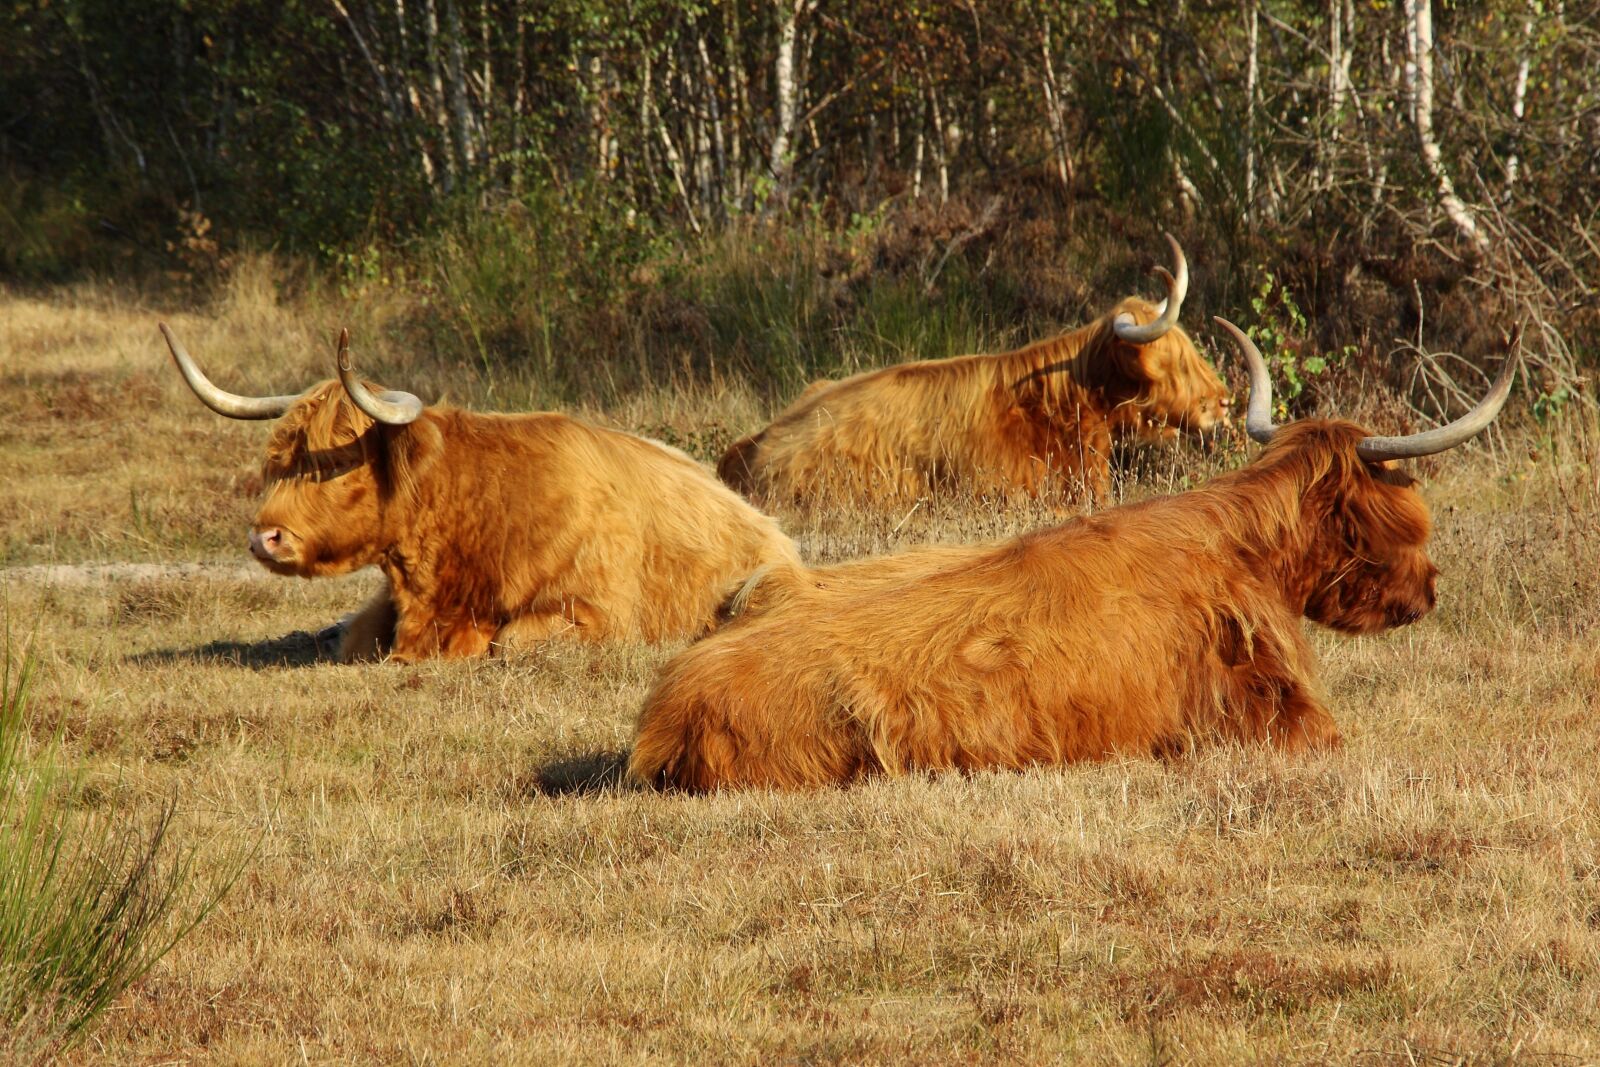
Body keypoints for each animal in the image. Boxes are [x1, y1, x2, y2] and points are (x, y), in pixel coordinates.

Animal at [160, 324, 802, 662]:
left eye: (336, 463)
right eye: (279, 462)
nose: (264, 538)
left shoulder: (601, 615)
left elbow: (507, 642)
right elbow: (356, 638)